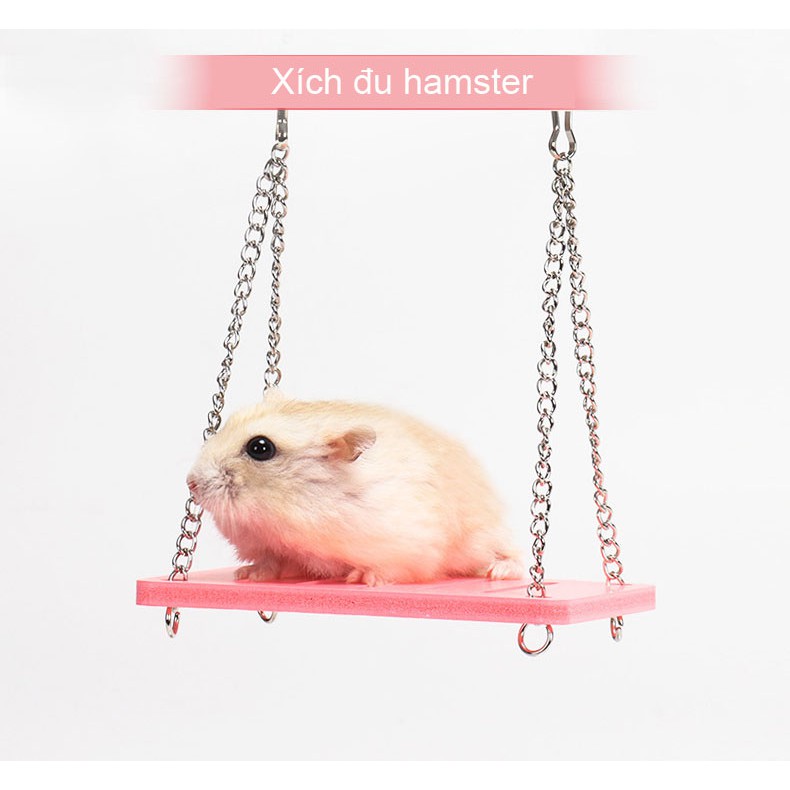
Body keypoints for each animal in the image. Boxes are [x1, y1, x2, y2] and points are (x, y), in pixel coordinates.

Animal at [186, 390, 523, 586]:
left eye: (260, 447)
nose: (190, 483)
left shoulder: (408, 544)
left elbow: (390, 569)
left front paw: (360, 578)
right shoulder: (277, 549)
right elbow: (273, 563)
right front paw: (247, 574)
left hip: (484, 537)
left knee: (514, 556)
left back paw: (497, 571)